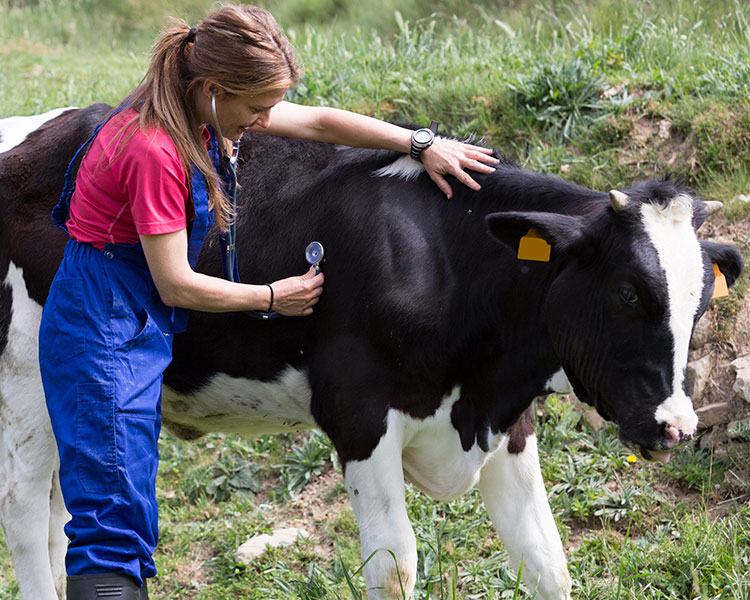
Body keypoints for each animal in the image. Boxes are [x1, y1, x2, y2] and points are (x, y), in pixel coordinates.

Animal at [0, 105, 744, 600]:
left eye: (701, 303)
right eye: (628, 292)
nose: (676, 427)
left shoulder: (506, 419)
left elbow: (546, 562)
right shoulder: (359, 416)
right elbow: (395, 569)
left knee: (65, 523)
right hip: (26, 387)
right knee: (26, 516)